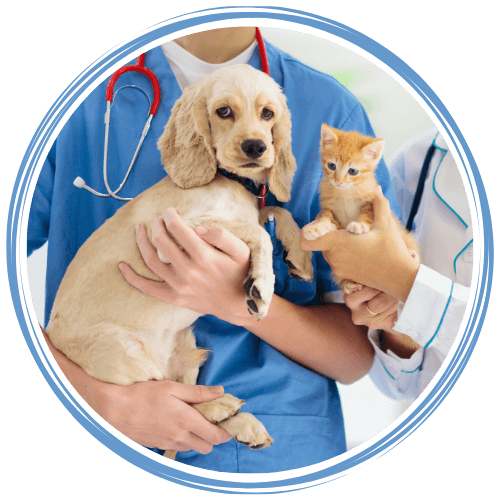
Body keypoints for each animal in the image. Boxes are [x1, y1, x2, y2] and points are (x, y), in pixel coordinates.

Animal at [46, 64, 312, 462]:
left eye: (268, 114)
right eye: (223, 111)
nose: (256, 147)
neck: (229, 182)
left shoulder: (246, 210)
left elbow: (276, 211)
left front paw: (300, 256)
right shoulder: (180, 227)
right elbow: (257, 231)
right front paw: (262, 286)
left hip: (186, 345)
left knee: (181, 394)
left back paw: (239, 422)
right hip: (123, 352)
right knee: (164, 399)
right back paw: (221, 408)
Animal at [302, 125, 420, 296]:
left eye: (353, 171)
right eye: (332, 166)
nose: (338, 182)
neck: (346, 192)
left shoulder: (371, 200)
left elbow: (367, 214)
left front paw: (360, 225)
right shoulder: (331, 209)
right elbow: (326, 218)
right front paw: (317, 227)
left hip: (405, 236)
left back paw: (412, 254)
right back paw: (349, 284)